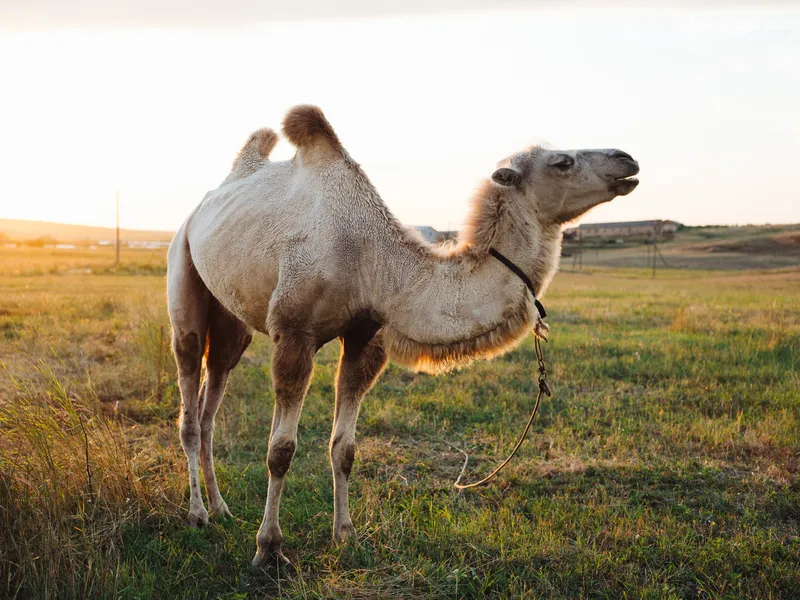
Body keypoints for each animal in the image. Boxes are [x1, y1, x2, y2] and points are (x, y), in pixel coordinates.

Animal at [166, 105, 640, 567]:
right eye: (562, 162)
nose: (627, 159)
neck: (374, 261)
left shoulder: (366, 337)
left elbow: (345, 447)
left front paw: (345, 535)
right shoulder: (294, 333)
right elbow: (281, 450)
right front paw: (268, 548)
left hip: (232, 318)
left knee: (213, 392)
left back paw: (222, 508)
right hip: (183, 269)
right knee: (189, 398)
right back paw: (197, 514)